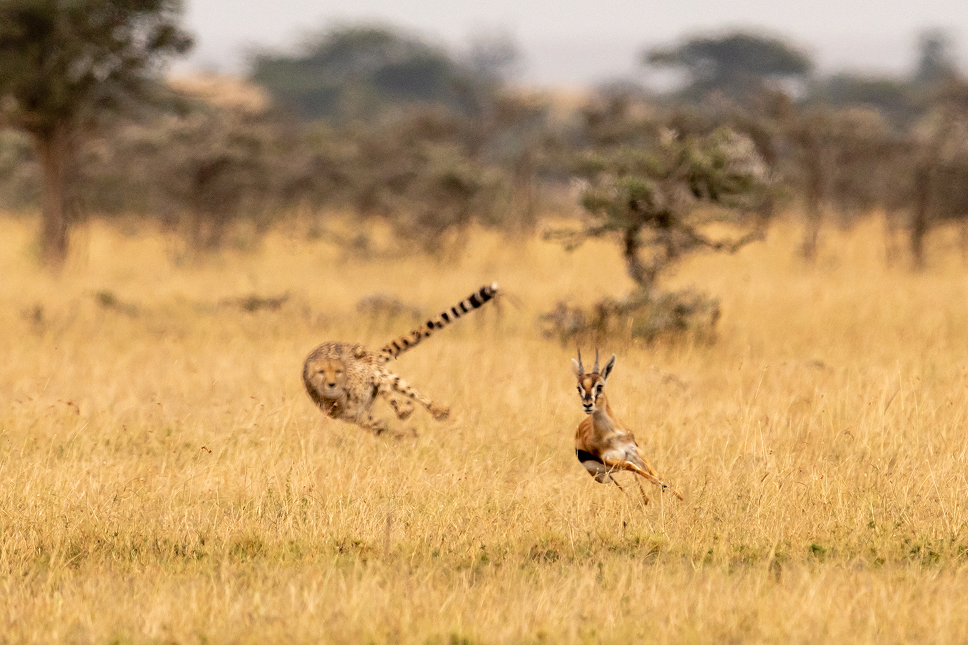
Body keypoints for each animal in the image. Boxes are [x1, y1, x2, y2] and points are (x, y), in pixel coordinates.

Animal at [572, 349, 684, 504]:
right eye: (579, 388)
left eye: (599, 386)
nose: (587, 405)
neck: (610, 434)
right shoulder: (609, 459)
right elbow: (637, 469)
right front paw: (664, 488)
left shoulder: (633, 450)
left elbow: (655, 474)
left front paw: (680, 497)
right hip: (603, 476)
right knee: (623, 482)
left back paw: (646, 500)